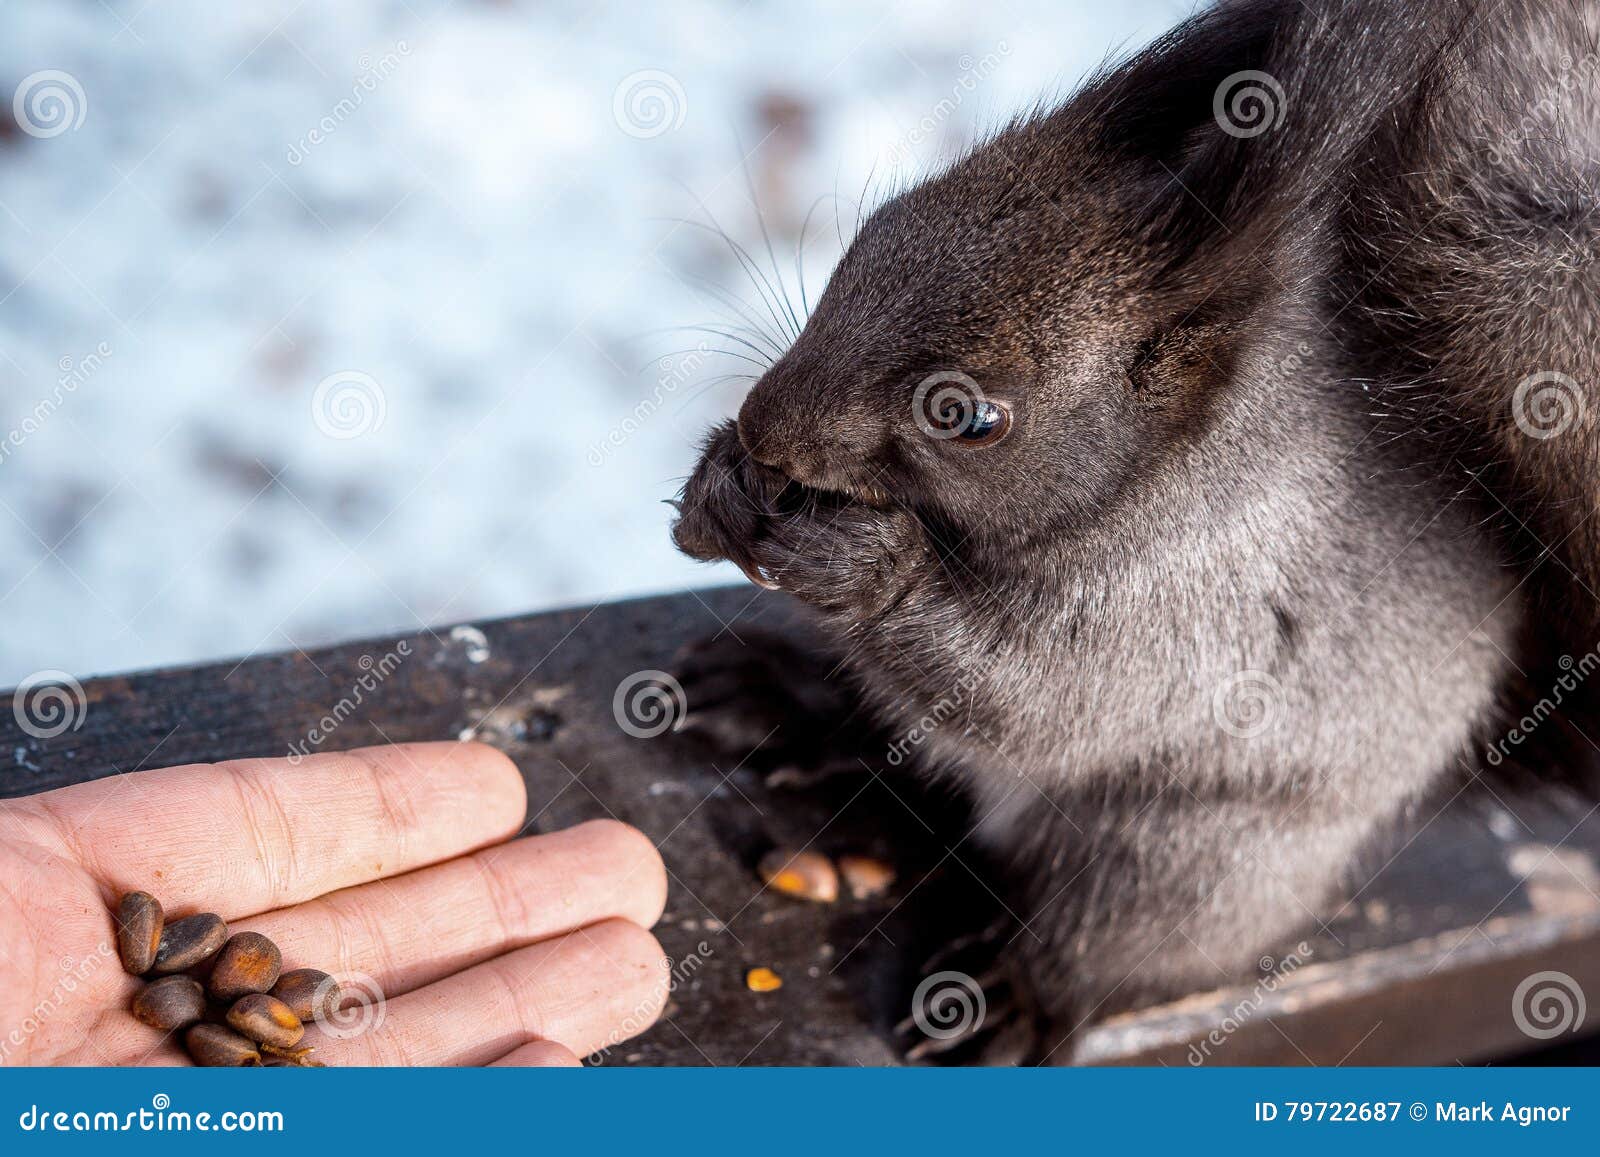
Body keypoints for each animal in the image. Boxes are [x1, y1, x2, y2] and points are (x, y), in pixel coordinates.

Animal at [670, 0, 1598, 1061]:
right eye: (870, 234)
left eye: (970, 418)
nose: (765, 427)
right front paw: (719, 485)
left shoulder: (1205, 604)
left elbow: (1045, 699)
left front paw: (867, 564)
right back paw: (775, 696)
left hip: (1194, 856)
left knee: (1114, 941)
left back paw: (1007, 998)